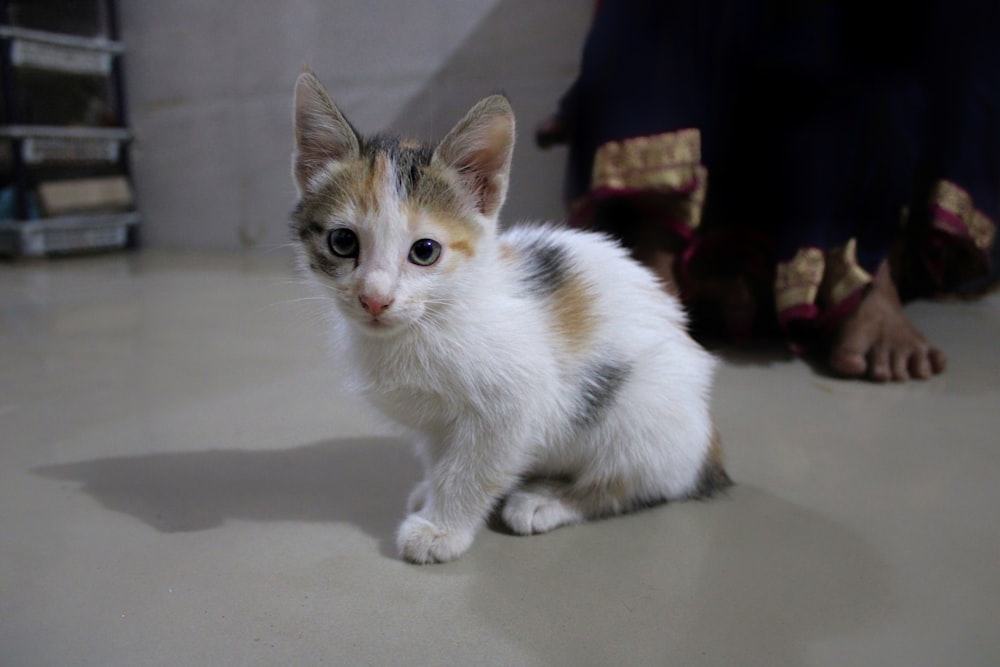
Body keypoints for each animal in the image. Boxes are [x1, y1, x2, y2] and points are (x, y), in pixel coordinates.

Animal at [290, 73, 736, 564]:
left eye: (425, 251)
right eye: (342, 242)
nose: (374, 299)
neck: (434, 320)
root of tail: (707, 441)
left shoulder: (515, 403)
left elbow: (470, 468)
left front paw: (442, 528)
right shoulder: (436, 420)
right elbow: (441, 457)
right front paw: (430, 492)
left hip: (640, 416)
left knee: (636, 483)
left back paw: (547, 501)